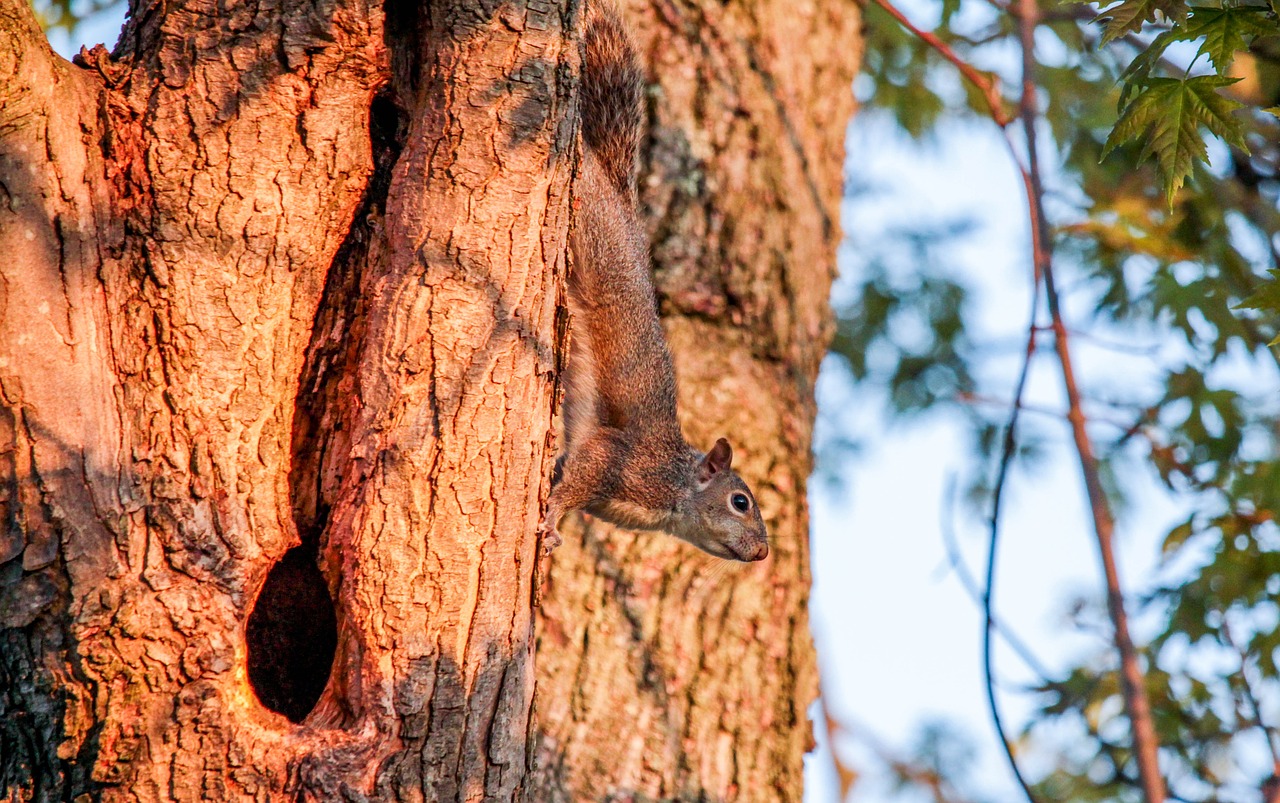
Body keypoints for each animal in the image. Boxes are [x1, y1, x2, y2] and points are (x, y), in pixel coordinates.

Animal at [540, 3, 768, 563]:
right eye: (739, 502)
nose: (762, 552)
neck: (675, 497)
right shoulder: (619, 460)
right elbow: (575, 480)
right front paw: (551, 521)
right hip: (589, 227)